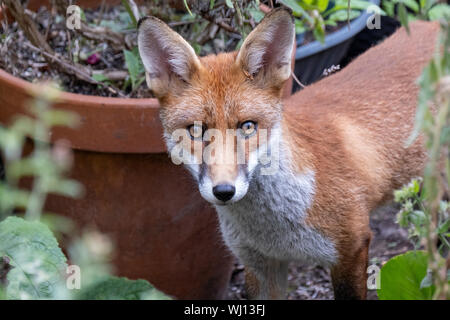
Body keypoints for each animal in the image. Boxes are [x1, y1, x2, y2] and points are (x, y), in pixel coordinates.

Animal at [137, 7, 440, 298]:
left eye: (248, 126)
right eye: (196, 130)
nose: (224, 191)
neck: (276, 231)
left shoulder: (352, 248)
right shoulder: (259, 264)